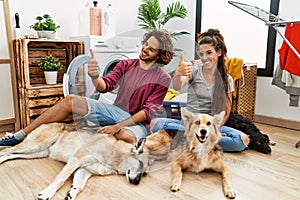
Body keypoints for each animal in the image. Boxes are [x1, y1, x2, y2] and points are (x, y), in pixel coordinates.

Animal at [0, 122, 158, 199]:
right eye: (140, 165)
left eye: (144, 174)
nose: (137, 183)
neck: (114, 156)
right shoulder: (76, 160)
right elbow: (61, 179)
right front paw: (47, 193)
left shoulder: (84, 170)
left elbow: (79, 185)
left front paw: (72, 193)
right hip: (33, 146)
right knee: (5, 150)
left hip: (36, 152)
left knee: (9, 154)